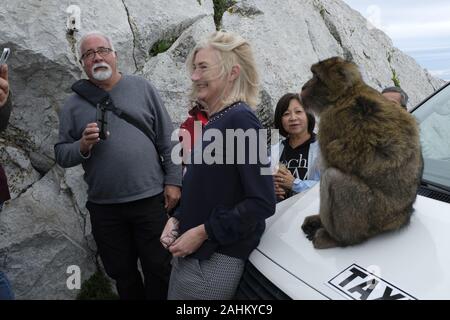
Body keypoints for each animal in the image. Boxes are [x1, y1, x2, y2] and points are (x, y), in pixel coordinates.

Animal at [300, 56, 424, 249]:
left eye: (316, 77)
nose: (304, 87)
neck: (345, 94)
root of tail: (401, 216)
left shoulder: (329, 122)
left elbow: (328, 166)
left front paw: (321, 222)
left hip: (368, 214)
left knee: (332, 178)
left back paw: (337, 238)